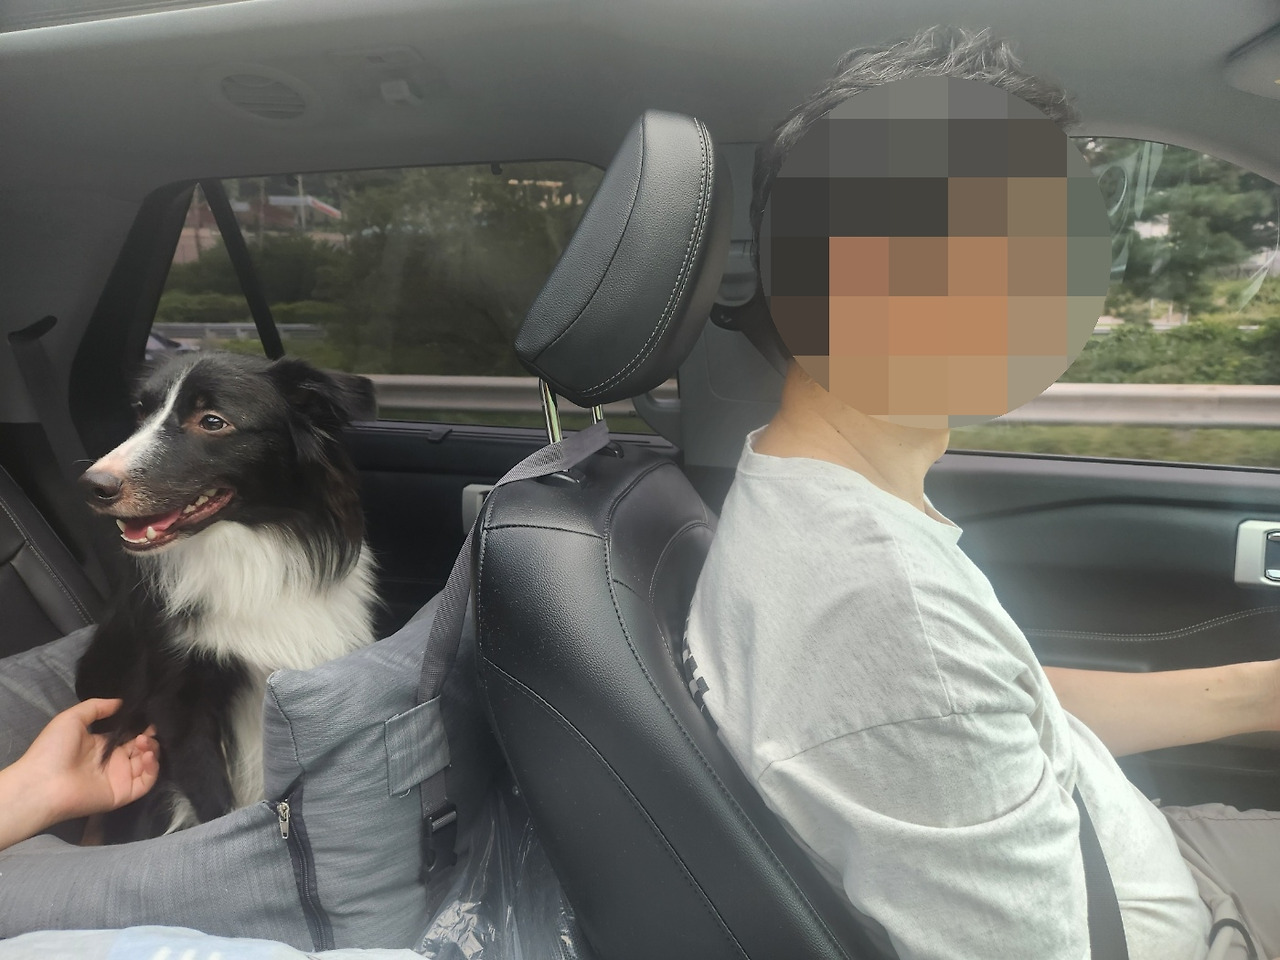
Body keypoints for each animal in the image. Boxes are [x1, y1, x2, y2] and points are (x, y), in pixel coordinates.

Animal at [74, 351, 377, 840]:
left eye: (213, 421)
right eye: (141, 413)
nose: (91, 486)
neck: (249, 549)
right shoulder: (177, 700)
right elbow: (214, 806)